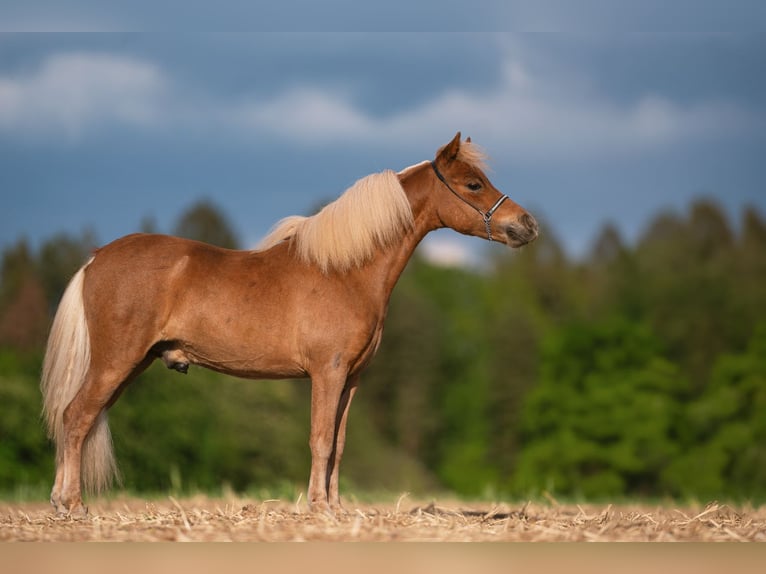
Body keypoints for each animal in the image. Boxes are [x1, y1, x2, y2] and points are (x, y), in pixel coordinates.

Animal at [40, 132, 538, 517]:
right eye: (473, 183)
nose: (527, 225)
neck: (345, 271)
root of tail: (97, 258)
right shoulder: (327, 373)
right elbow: (320, 439)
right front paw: (318, 508)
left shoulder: (352, 379)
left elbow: (339, 443)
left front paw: (336, 508)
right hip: (116, 362)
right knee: (76, 416)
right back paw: (72, 506)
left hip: (132, 364)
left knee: (79, 419)